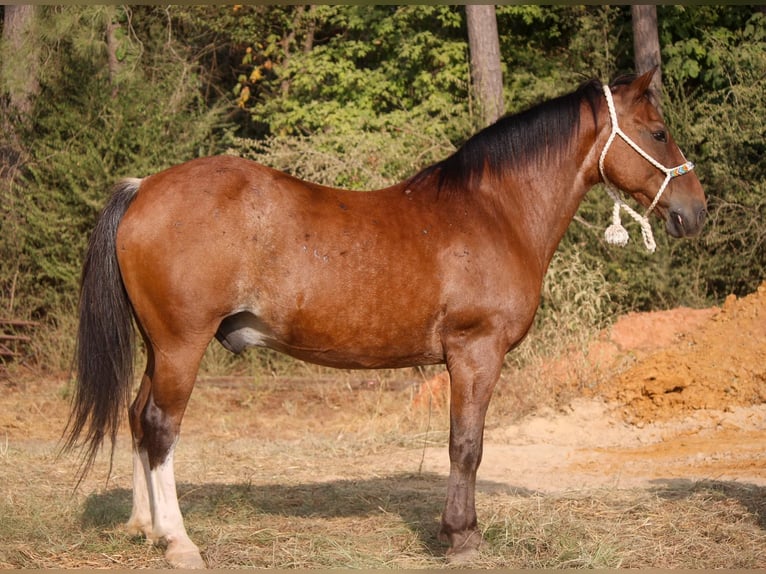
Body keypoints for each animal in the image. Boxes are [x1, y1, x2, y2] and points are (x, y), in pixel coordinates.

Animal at [66, 71, 708, 568]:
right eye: (659, 132)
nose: (696, 211)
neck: (493, 212)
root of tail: (144, 187)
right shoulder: (475, 354)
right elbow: (466, 445)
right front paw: (462, 537)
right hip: (182, 344)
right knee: (160, 425)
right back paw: (178, 542)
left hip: (159, 347)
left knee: (137, 418)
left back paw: (144, 527)